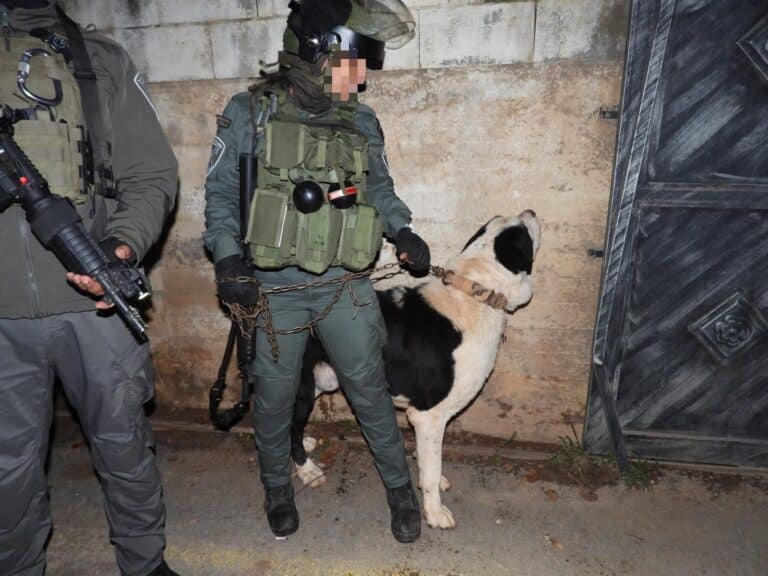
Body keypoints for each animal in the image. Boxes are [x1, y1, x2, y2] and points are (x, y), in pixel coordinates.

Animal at [290, 210, 540, 529]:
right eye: (524, 232)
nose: (530, 212)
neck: (475, 294)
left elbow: (428, 461)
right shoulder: (428, 416)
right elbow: (432, 467)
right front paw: (434, 512)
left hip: (323, 379)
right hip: (301, 386)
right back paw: (307, 469)